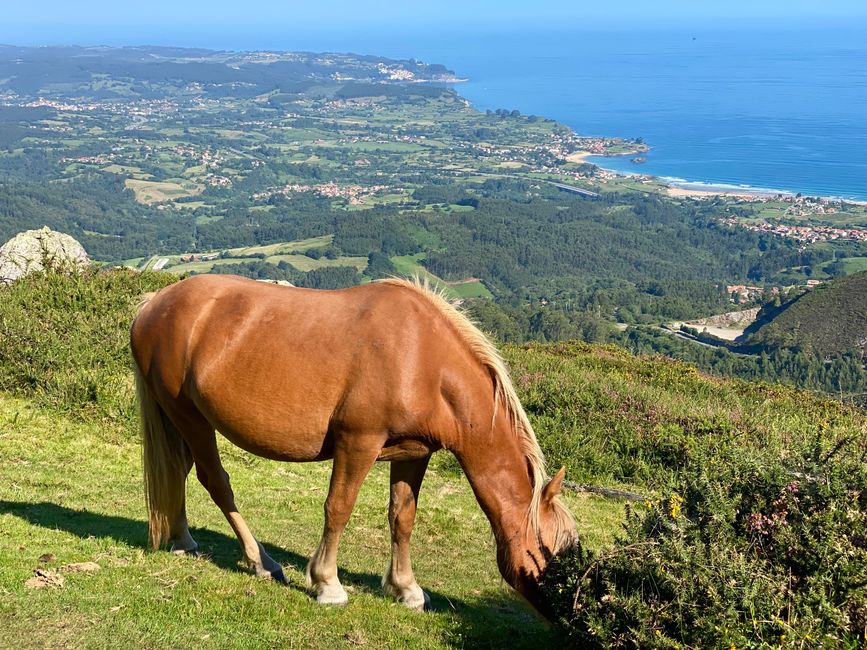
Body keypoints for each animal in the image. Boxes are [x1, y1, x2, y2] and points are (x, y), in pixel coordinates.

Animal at [131, 274, 576, 612]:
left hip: (182, 420)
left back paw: (183, 540)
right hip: (188, 416)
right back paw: (261, 562)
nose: (570, 614)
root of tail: (155, 303)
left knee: (179, 471)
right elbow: (339, 508)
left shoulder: (413, 454)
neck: (421, 359)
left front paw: (406, 589)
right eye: (551, 554)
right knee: (215, 481)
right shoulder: (358, 444)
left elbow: (402, 517)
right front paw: (327, 584)